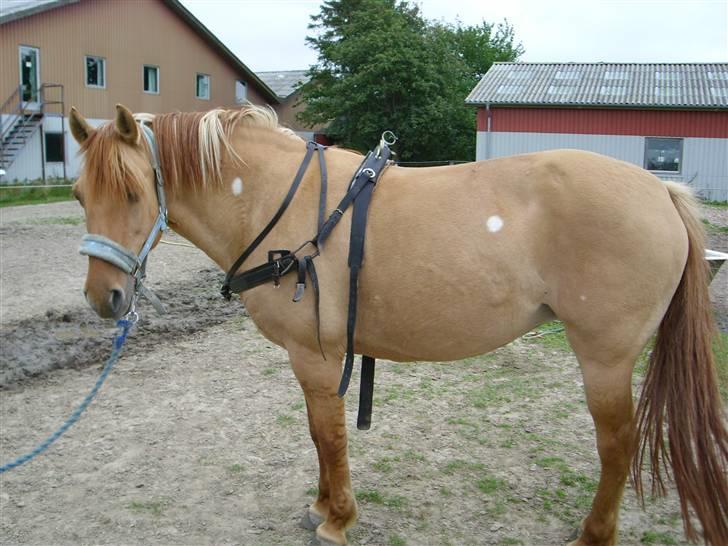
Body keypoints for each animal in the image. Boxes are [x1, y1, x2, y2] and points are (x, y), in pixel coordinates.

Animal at [69, 105, 728, 544]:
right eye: (78, 194)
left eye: (133, 192)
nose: (105, 297)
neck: (280, 202)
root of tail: (660, 191)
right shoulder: (313, 362)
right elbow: (318, 437)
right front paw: (322, 507)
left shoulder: (315, 357)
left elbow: (330, 437)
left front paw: (338, 519)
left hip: (605, 359)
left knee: (617, 446)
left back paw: (593, 534)